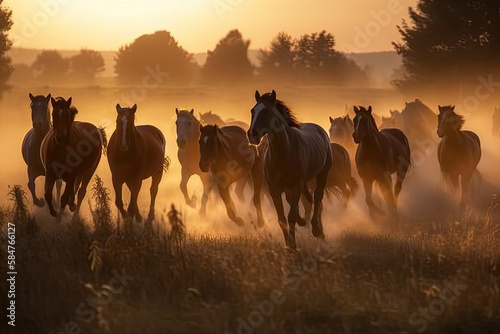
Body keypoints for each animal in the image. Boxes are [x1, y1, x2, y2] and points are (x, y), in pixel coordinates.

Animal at [247, 90, 332, 249]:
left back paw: (317, 230)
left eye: (266, 111)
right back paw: (305, 222)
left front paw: (292, 244)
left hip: (322, 174)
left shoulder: (296, 185)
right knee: (306, 200)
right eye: (252, 111)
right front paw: (288, 244)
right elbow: (281, 218)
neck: (283, 151)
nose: (252, 135)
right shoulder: (274, 190)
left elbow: (291, 215)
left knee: (317, 198)